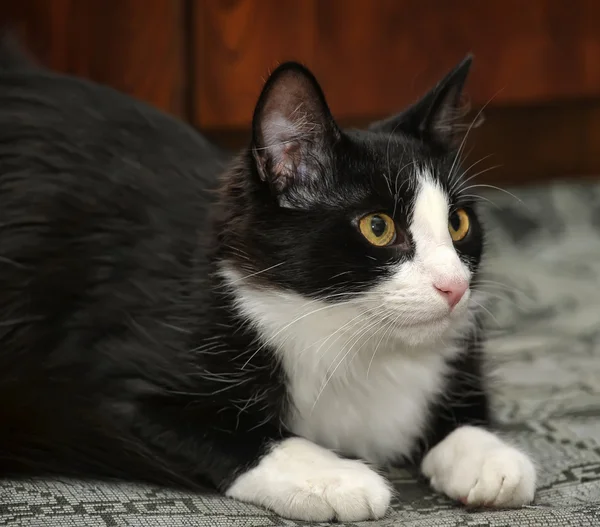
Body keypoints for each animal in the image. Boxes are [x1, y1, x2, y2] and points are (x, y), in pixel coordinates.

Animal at [0, 38, 536, 524]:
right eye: (377, 227)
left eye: (458, 223)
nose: (455, 287)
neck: (352, 338)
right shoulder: (89, 388)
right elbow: (232, 434)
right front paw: (333, 477)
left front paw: (487, 455)